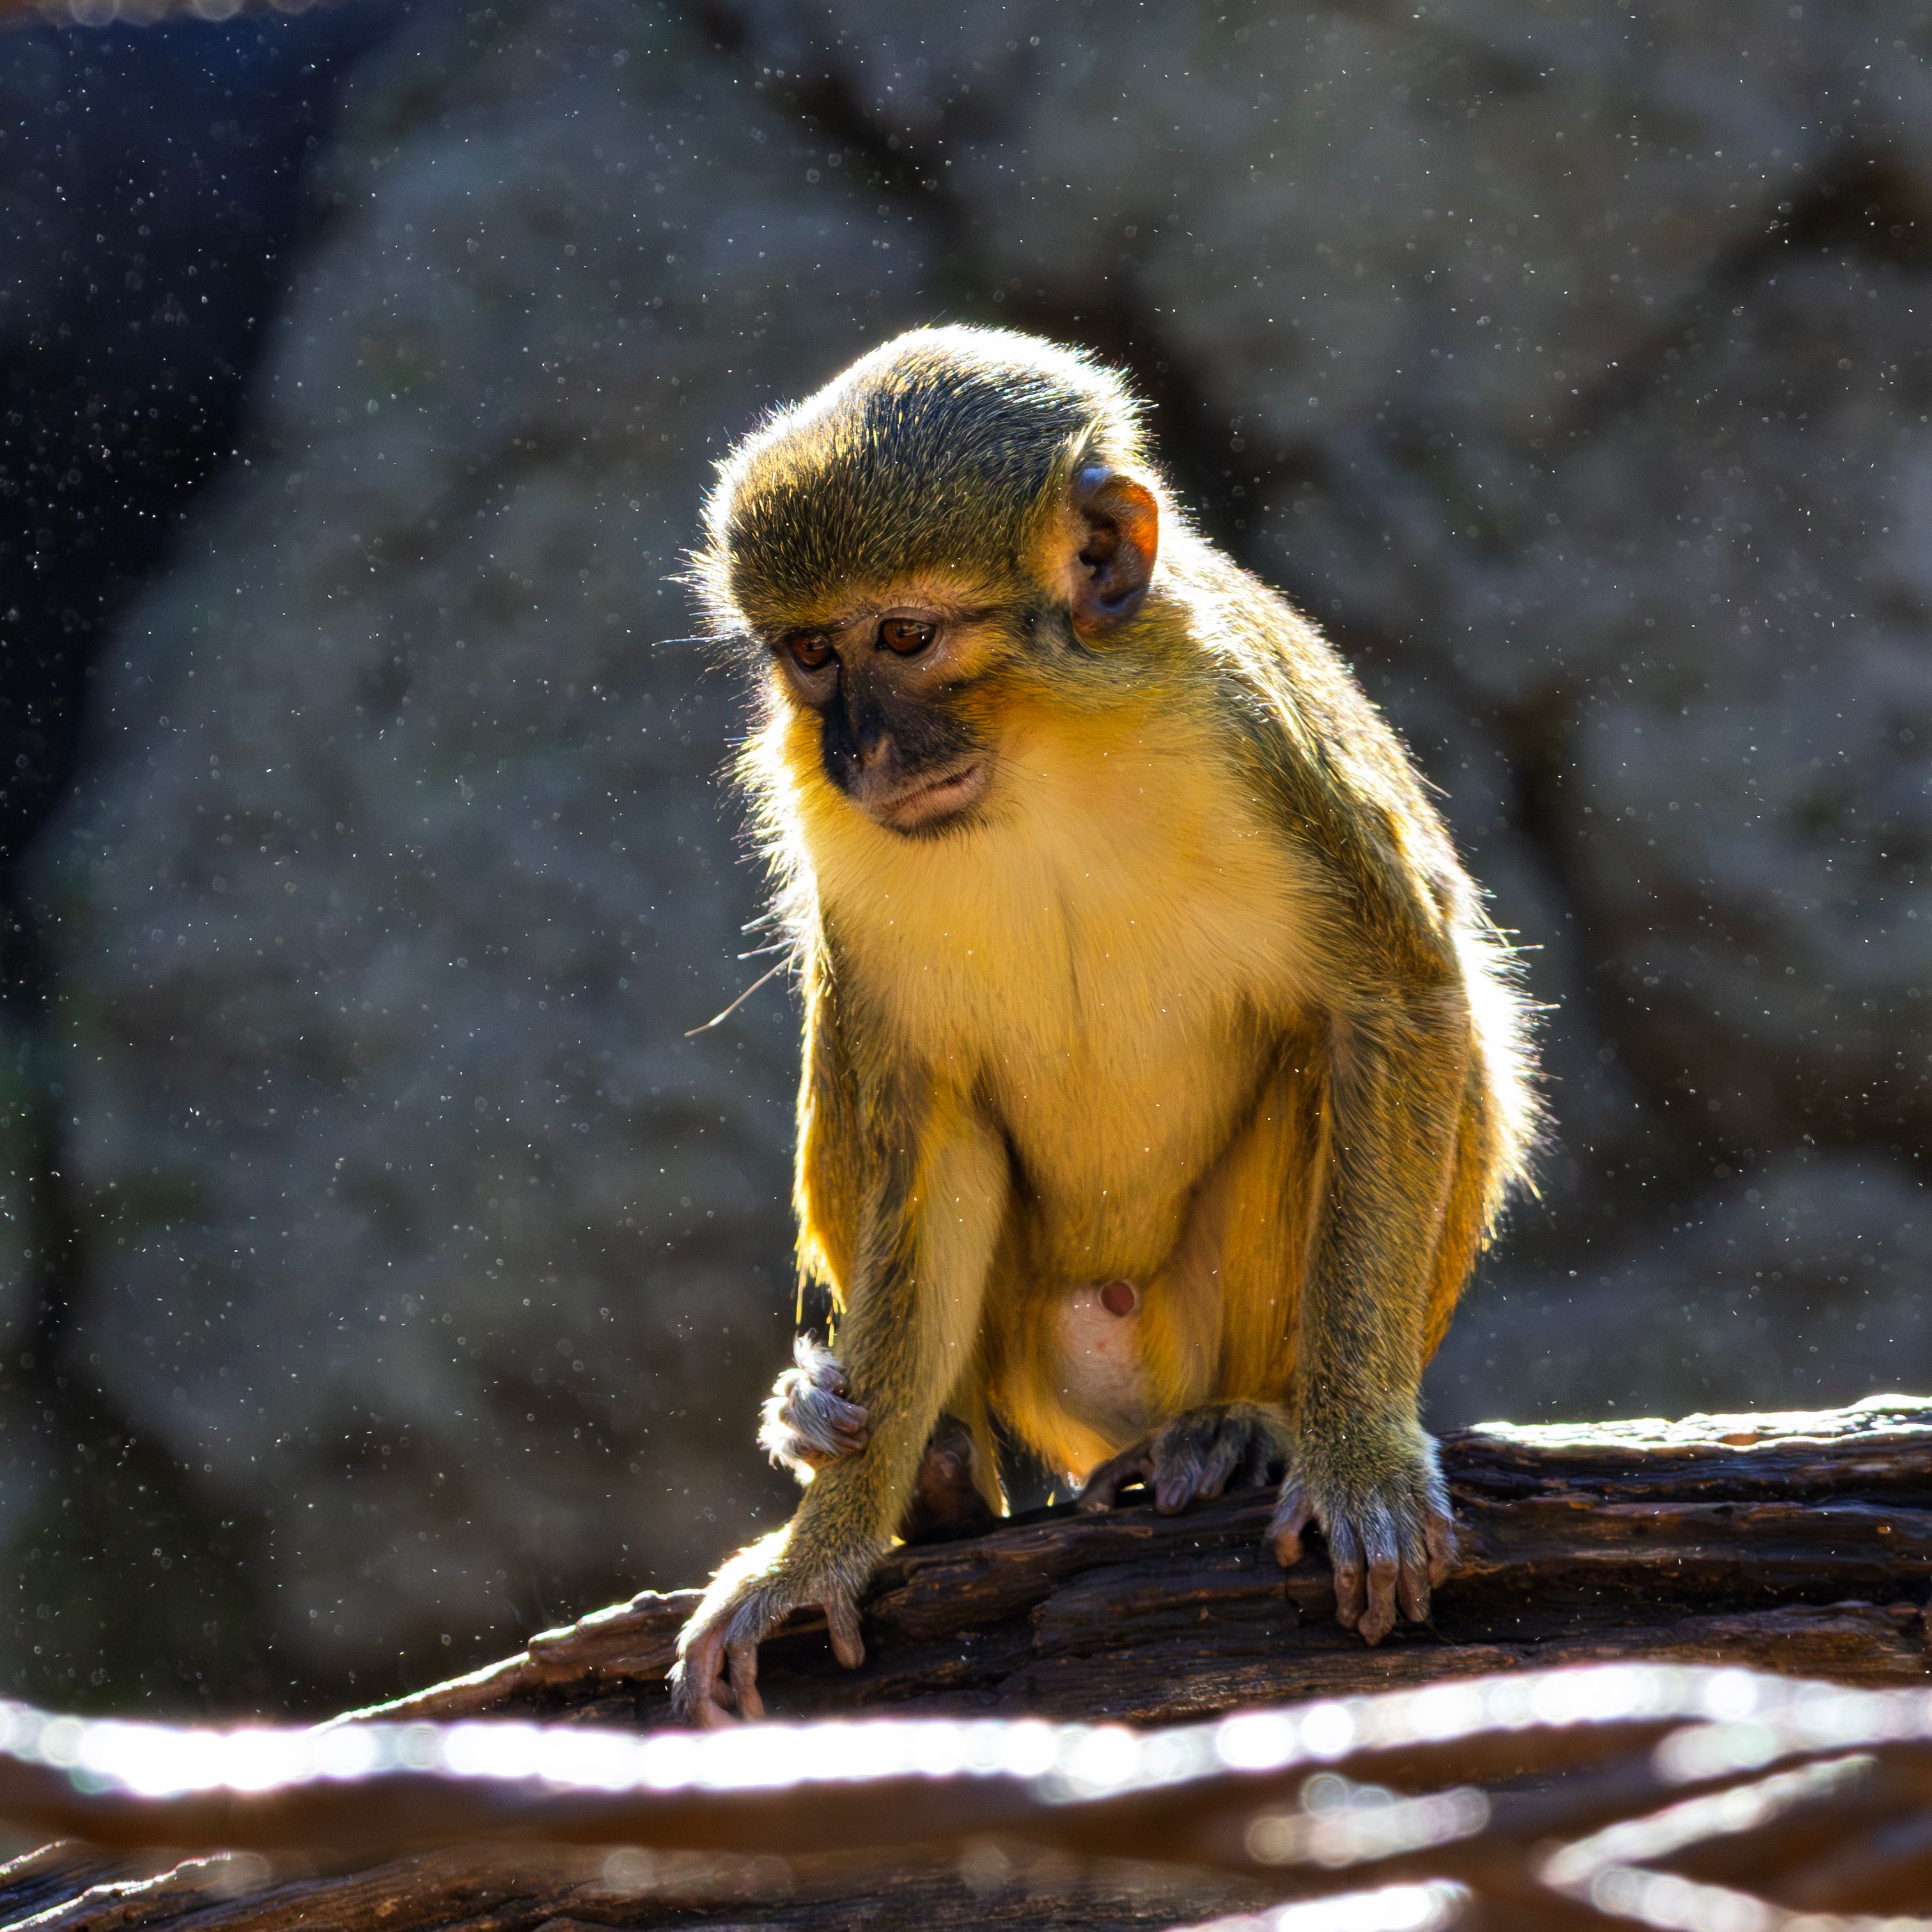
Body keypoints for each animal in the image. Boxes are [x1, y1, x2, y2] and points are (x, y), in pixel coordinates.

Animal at [668, 326, 1538, 1725]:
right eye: (809, 656)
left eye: (903, 635)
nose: (857, 748)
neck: (1039, 754)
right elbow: (922, 1116)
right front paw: (829, 1541)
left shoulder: (1251, 739)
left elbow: (1396, 995)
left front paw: (1351, 1450)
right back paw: (933, 1473)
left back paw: (1247, 1421)